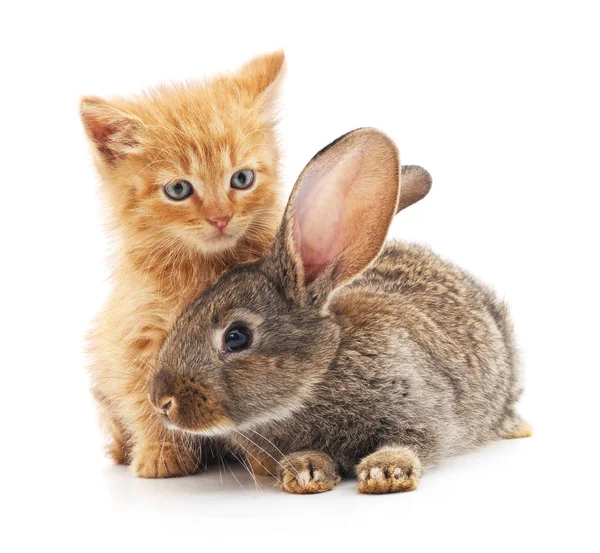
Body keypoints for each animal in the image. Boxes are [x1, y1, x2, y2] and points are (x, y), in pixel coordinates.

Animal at [81, 50, 286, 474]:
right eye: (178, 189)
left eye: (242, 179)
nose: (221, 218)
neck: (203, 270)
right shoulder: (137, 337)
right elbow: (147, 401)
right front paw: (163, 452)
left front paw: (271, 458)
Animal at [151, 128, 528, 492]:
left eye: (237, 337)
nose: (162, 401)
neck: (321, 371)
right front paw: (304, 472)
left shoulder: (422, 407)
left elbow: (413, 441)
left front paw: (386, 471)